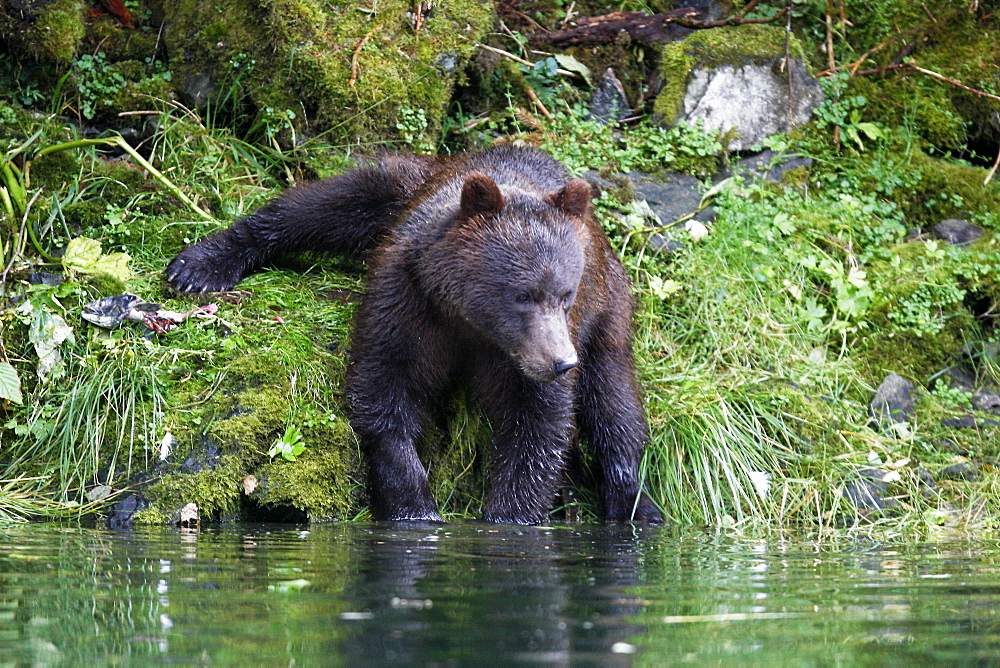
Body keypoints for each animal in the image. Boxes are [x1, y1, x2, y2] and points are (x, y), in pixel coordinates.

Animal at [165, 146, 664, 528]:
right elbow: (386, 388)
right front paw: (415, 507)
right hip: (400, 192)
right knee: (328, 202)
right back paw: (201, 264)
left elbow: (538, 427)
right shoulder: (409, 301)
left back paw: (634, 500)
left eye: (565, 294)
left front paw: (509, 516)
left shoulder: (530, 351)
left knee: (613, 402)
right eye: (523, 294)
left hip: (609, 315)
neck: (470, 321)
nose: (561, 362)